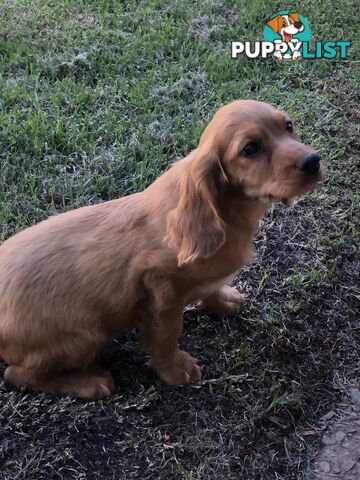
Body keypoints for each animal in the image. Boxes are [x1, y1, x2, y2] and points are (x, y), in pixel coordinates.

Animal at [0, 99, 324, 400]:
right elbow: (168, 333)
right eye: (251, 148)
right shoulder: (162, 287)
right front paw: (175, 369)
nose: (313, 161)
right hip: (86, 332)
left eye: (289, 126)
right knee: (17, 373)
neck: (227, 212)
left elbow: (210, 288)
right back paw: (89, 382)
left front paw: (222, 300)